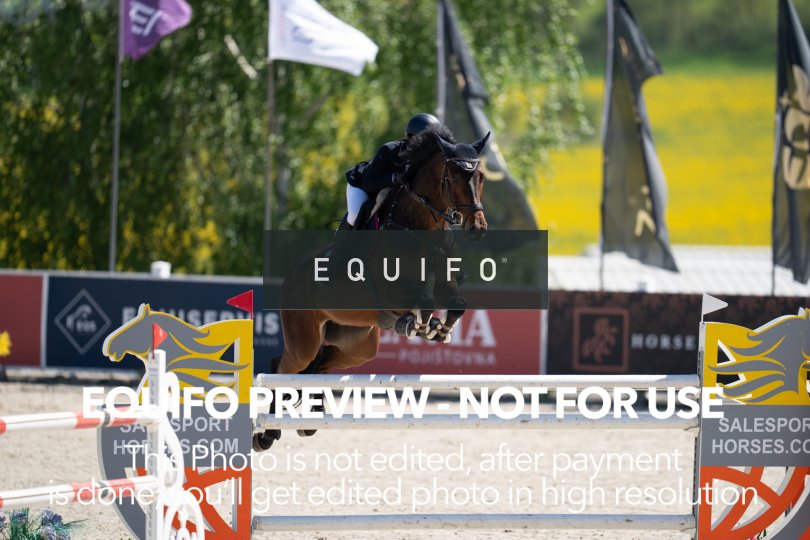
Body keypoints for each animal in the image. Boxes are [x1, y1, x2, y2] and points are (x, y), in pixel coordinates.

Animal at [254, 125, 490, 451]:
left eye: (480, 177)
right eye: (454, 177)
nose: (477, 229)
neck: (421, 227)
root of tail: (292, 274)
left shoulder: (447, 283)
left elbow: (456, 304)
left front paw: (438, 330)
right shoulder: (394, 291)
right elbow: (424, 302)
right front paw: (420, 325)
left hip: (359, 345)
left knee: (319, 367)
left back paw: (307, 423)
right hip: (304, 337)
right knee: (285, 367)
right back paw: (266, 434)